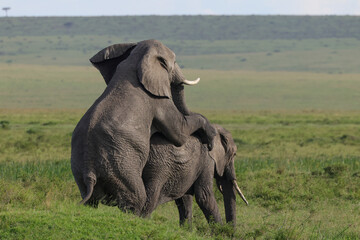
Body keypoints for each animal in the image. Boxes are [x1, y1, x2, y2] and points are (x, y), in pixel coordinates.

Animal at [70, 39, 217, 216]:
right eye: (173, 62)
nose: (208, 147)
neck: (136, 60)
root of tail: (89, 172)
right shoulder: (157, 101)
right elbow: (179, 133)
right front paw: (211, 136)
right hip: (121, 165)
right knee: (136, 198)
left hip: (78, 170)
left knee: (91, 200)